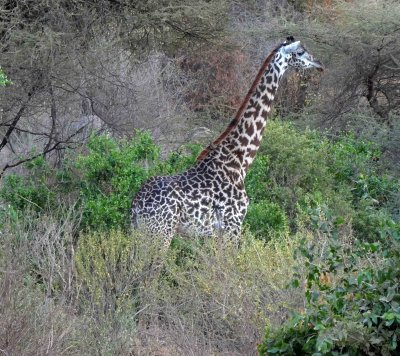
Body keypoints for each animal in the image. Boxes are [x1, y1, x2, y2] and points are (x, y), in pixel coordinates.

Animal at [130, 37, 324, 246]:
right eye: (300, 51)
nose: (319, 64)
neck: (240, 158)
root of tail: (135, 206)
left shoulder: (216, 233)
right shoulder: (233, 224)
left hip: (144, 233)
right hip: (161, 233)